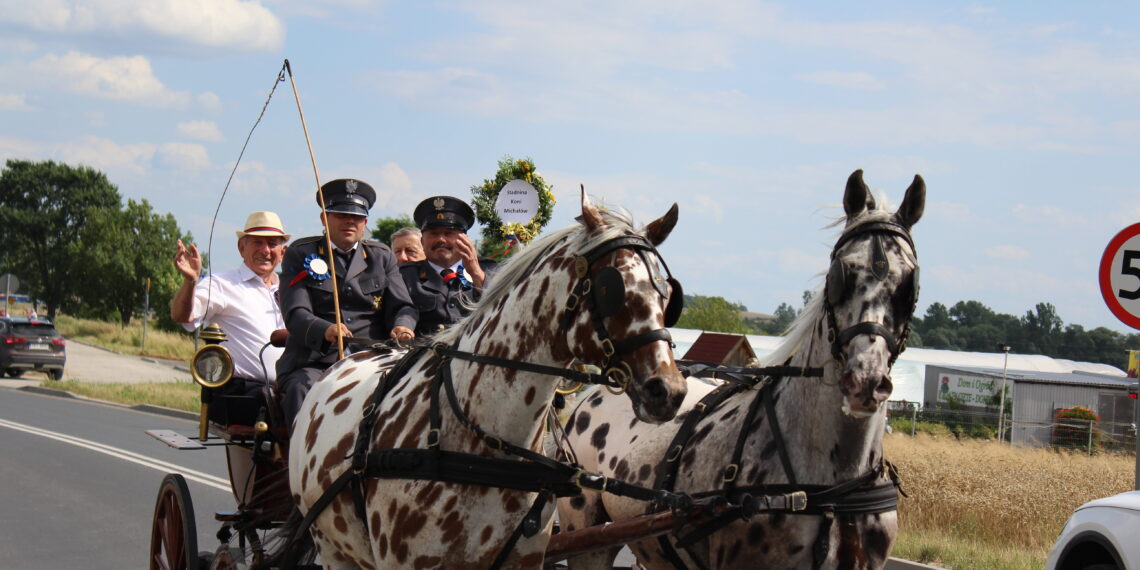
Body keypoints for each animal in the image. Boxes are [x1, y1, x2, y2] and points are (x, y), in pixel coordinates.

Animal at [556, 168, 921, 570]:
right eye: (839, 274)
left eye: (910, 283)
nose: (864, 382)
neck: (829, 487)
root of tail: (594, 392)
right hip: (586, 535)